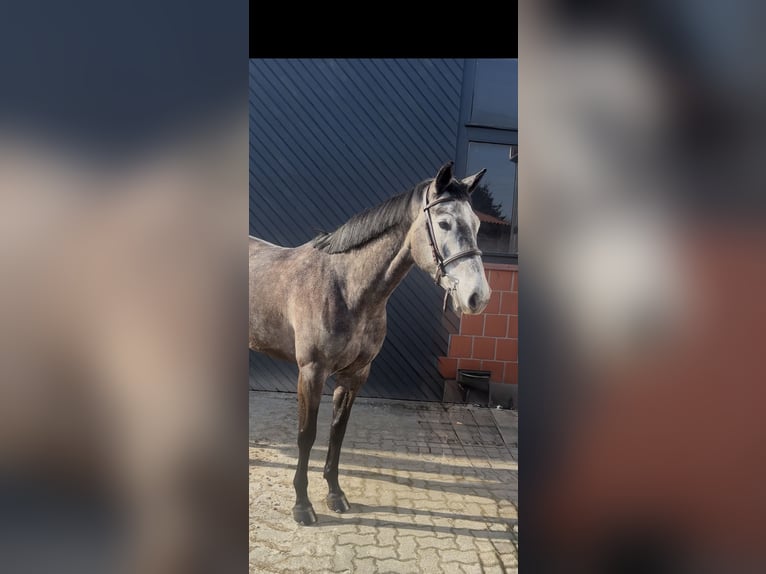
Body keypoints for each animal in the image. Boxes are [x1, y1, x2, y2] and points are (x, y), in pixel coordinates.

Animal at [249, 161, 491, 525]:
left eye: (476, 224)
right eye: (444, 223)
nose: (478, 296)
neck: (346, 286)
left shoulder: (355, 375)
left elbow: (337, 432)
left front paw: (335, 494)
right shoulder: (311, 372)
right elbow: (307, 435)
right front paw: (302, 505)